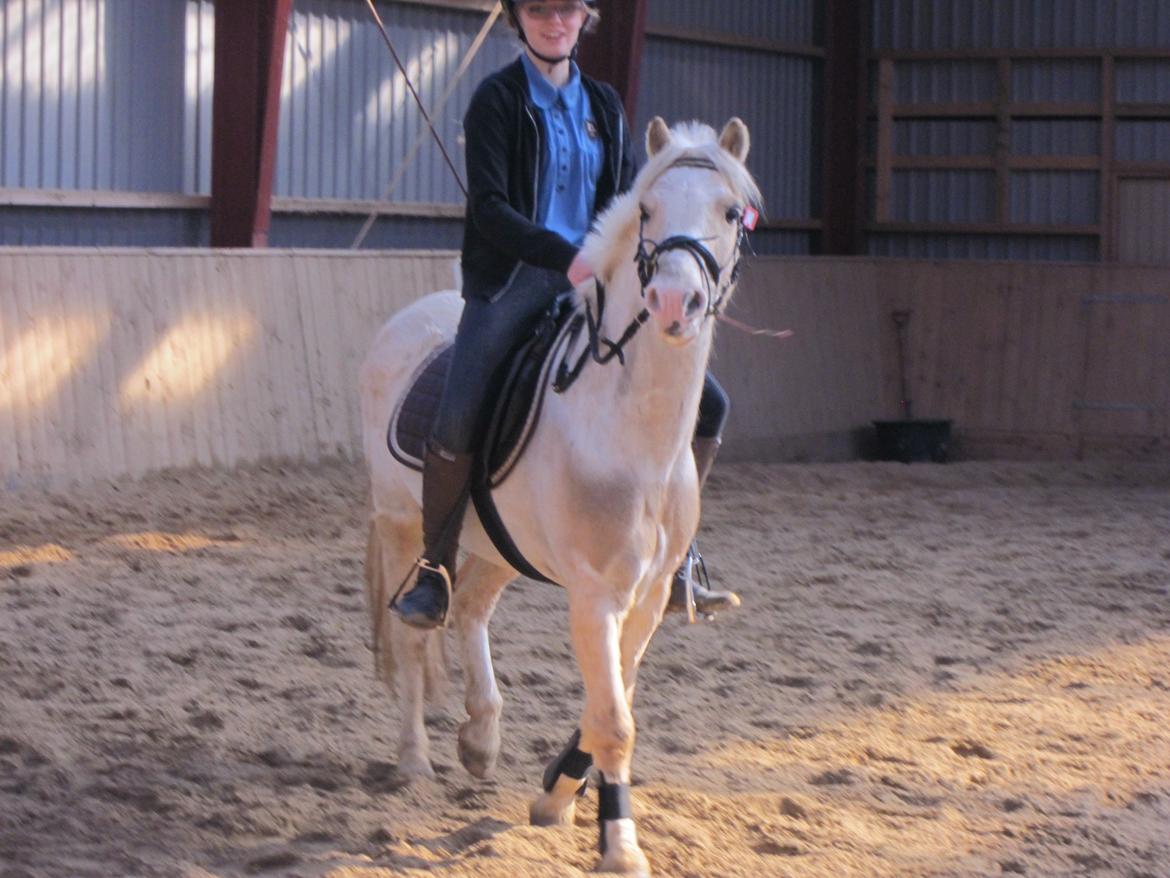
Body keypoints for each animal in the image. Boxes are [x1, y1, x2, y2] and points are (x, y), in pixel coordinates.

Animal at [360, 116, 760, 875]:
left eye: (730, 214)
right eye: (646, 211)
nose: (674, 303)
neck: (632, 433)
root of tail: (409, 320)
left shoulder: (651, 594)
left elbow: (615, 700)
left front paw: (555, 792)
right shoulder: (594, 593)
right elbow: (614, 721)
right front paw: (619, 845)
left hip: (497, 547)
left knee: (470, 612)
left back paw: (480, 738)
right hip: (401, 525)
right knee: (413, 633)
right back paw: (414, 760)